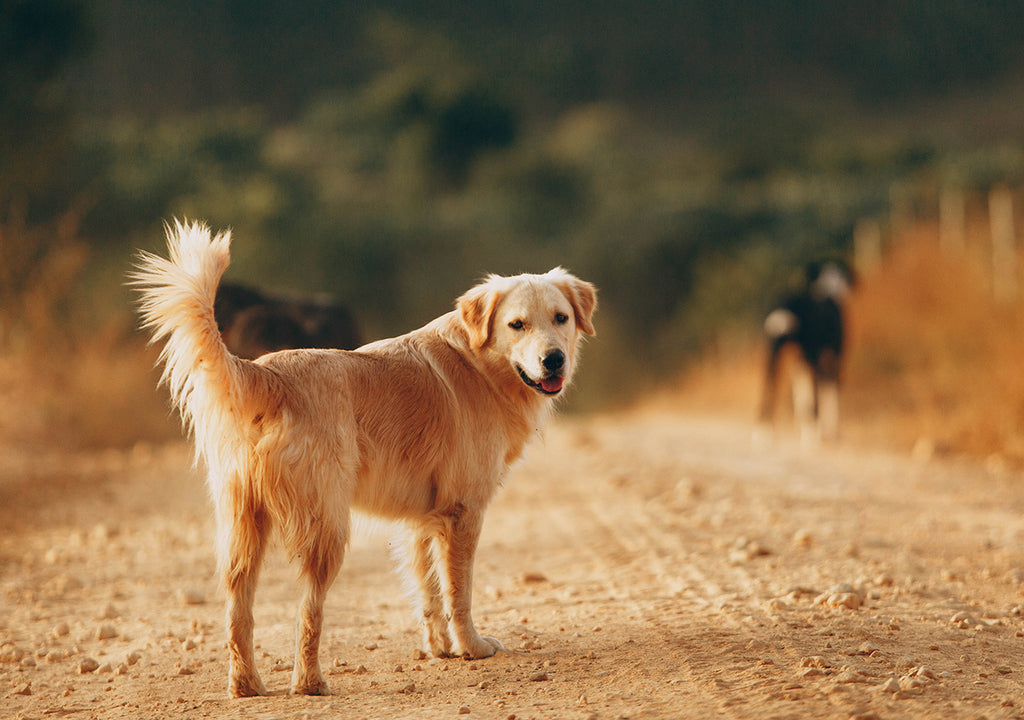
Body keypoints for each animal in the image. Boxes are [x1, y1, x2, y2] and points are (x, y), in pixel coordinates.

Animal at [131, 221, 598, 696]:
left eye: (560, 318)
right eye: (516, 325)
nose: (553, 360)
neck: (479, 363)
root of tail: (267, 373)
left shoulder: (423, 520)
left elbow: (428, 592)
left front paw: (440, 648)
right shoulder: (463, 513)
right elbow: (458, 592)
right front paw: (472, 647)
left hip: (243, 526)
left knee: (237, 609)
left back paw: (246, 685)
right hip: (327, 529)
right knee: (308, 612)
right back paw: (310, 682)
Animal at [761, 262, 856, 442]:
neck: (828, 288)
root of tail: (787, 306)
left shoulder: (799, 364)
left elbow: (801, 397)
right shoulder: (834, 357)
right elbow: (830, 392)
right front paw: (832, 432)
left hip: (773, 356)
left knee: (768, 390)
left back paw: (763, 435)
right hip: (813, 358)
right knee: (816, 395)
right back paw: (813, 437)